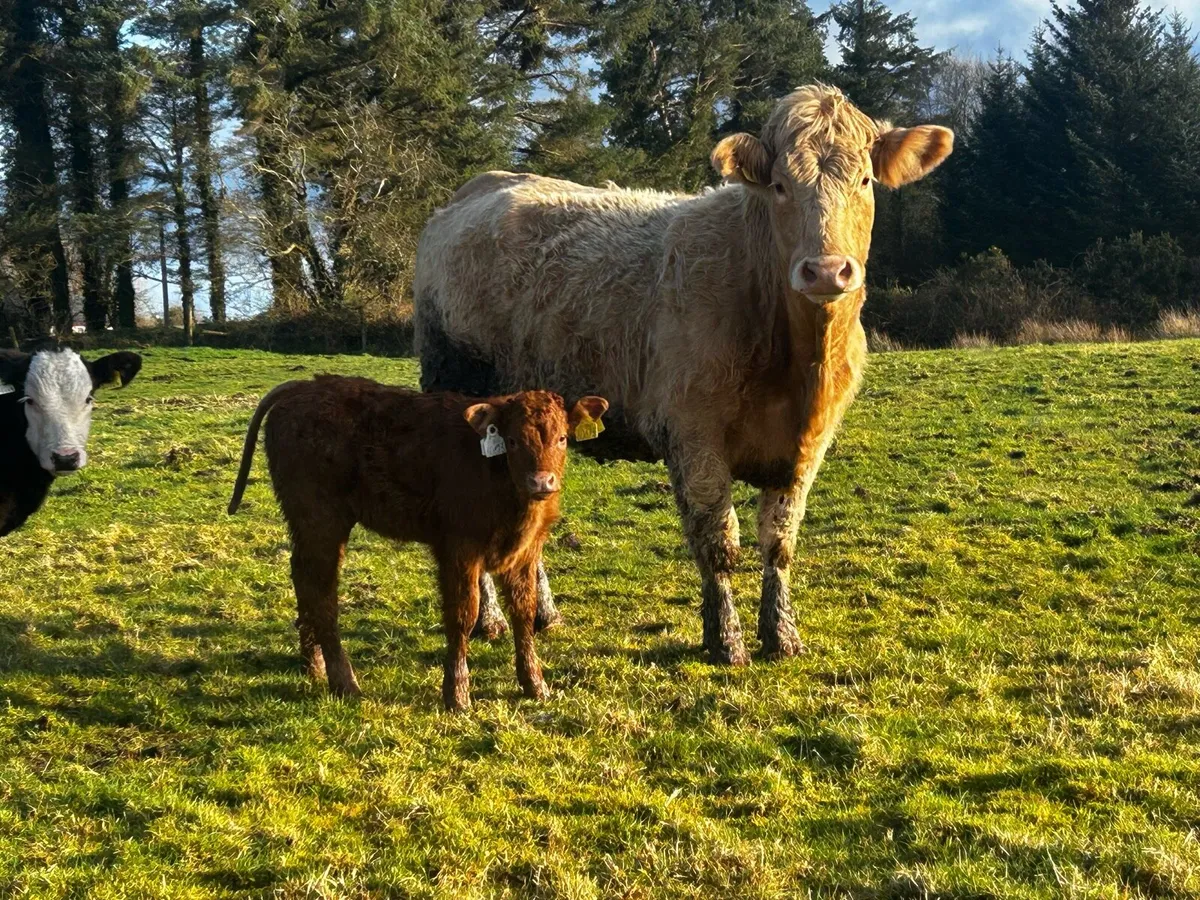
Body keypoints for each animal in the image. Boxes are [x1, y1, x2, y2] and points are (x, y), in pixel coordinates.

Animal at [227, 376, 607, 710]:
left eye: (562, 438)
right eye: (512, 441)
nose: (541, 481)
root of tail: (305, 386)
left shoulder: (525, 551)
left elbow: (524, 613)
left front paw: (535, 685)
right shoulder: (458, 547)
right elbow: (462, 615)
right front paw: (457, 695)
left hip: (306, 523)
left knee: (303, 579)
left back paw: (313, 663)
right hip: (320, 519)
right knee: (322, 592)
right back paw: (344, 682)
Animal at [413, 84, 953, 666]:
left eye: (865, 180)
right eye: (780, 186)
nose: (826, 270)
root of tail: (481, 186)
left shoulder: (809, 443)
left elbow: (779, 539)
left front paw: (782, 635)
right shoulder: (693, 432)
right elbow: (718, 542)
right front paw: (726, 640)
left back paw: (541, 612)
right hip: (461, 396)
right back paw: (488, 619)